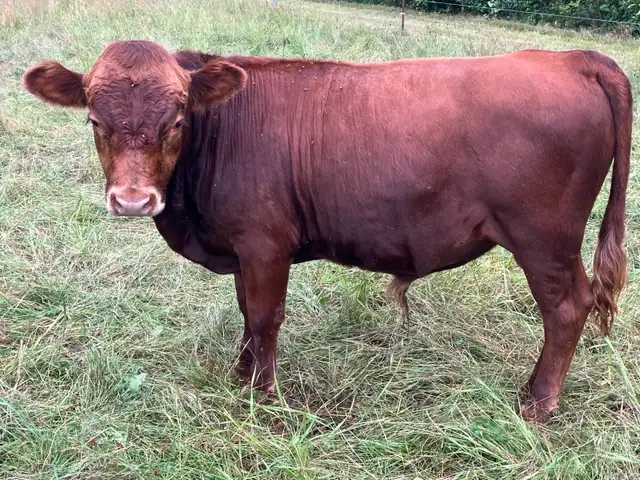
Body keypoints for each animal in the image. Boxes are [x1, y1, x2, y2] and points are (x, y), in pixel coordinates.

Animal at [23, 40, 632, 423]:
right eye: (95, 120)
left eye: (176, 121)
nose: (132, 199)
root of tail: (573, 59)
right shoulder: (244, 248)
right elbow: (246, 312)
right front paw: (241, 374)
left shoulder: (265, 243)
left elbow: (265, 316)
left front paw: (264, 397)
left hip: (544, 240)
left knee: (567, 308)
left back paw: (538, 403)